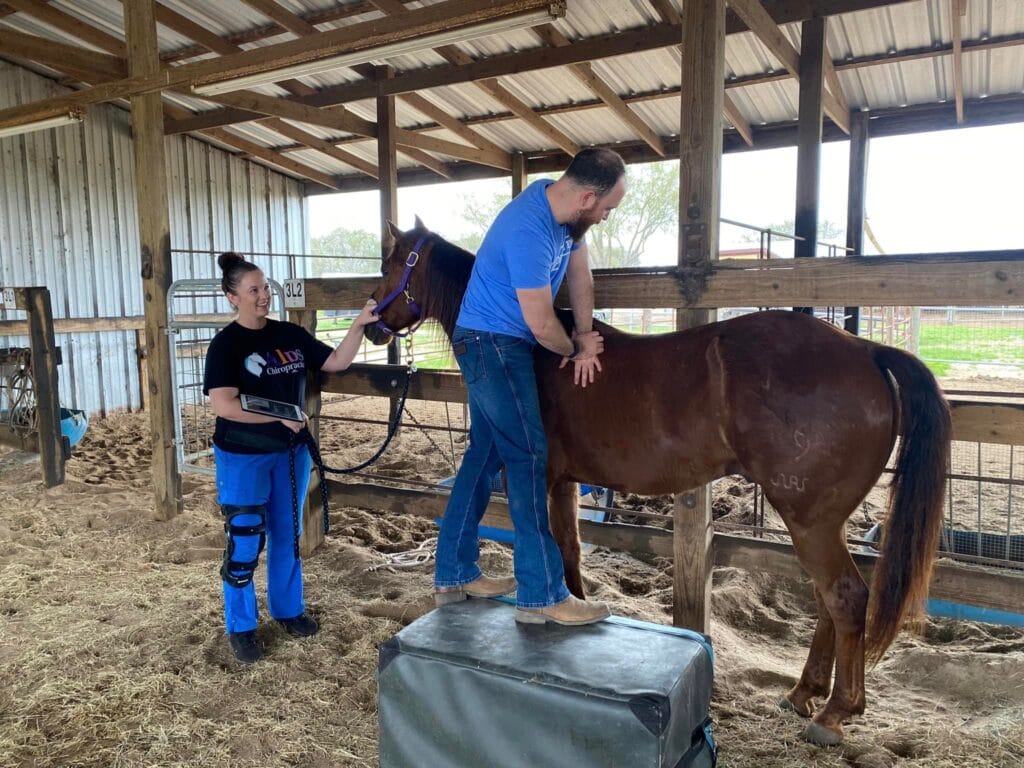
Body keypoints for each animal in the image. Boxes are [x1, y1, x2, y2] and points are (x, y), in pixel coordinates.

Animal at [364, 221, 952, 746]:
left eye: (391, 264)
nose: (371, 322)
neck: (532, 353)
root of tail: (864, 349)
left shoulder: (542, 476)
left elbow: (552, 547)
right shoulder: (565, 483)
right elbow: (571, 550)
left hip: (810, 520)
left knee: (846, 598)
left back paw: (835, 713)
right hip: (822, 522)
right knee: (827, 599)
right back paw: (804, 692)